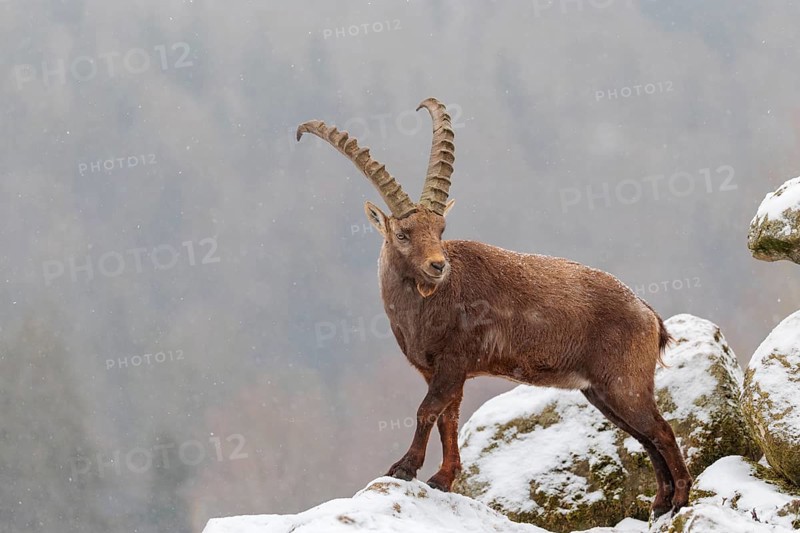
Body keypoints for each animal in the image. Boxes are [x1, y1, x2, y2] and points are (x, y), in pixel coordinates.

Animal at [296, 98, 692, 517]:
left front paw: (405, 468)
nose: (438, 265)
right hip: (600, 392)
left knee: (661, 430)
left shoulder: (453, 361)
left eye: (440, 230)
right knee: (646, 437)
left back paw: (681, 498)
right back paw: (660, 503)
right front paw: (442, 479)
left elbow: (427, 411)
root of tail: (648, 314)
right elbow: (448, 419)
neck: (425, 306)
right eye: (403, 234)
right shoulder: (438, 370)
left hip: (624, 383)